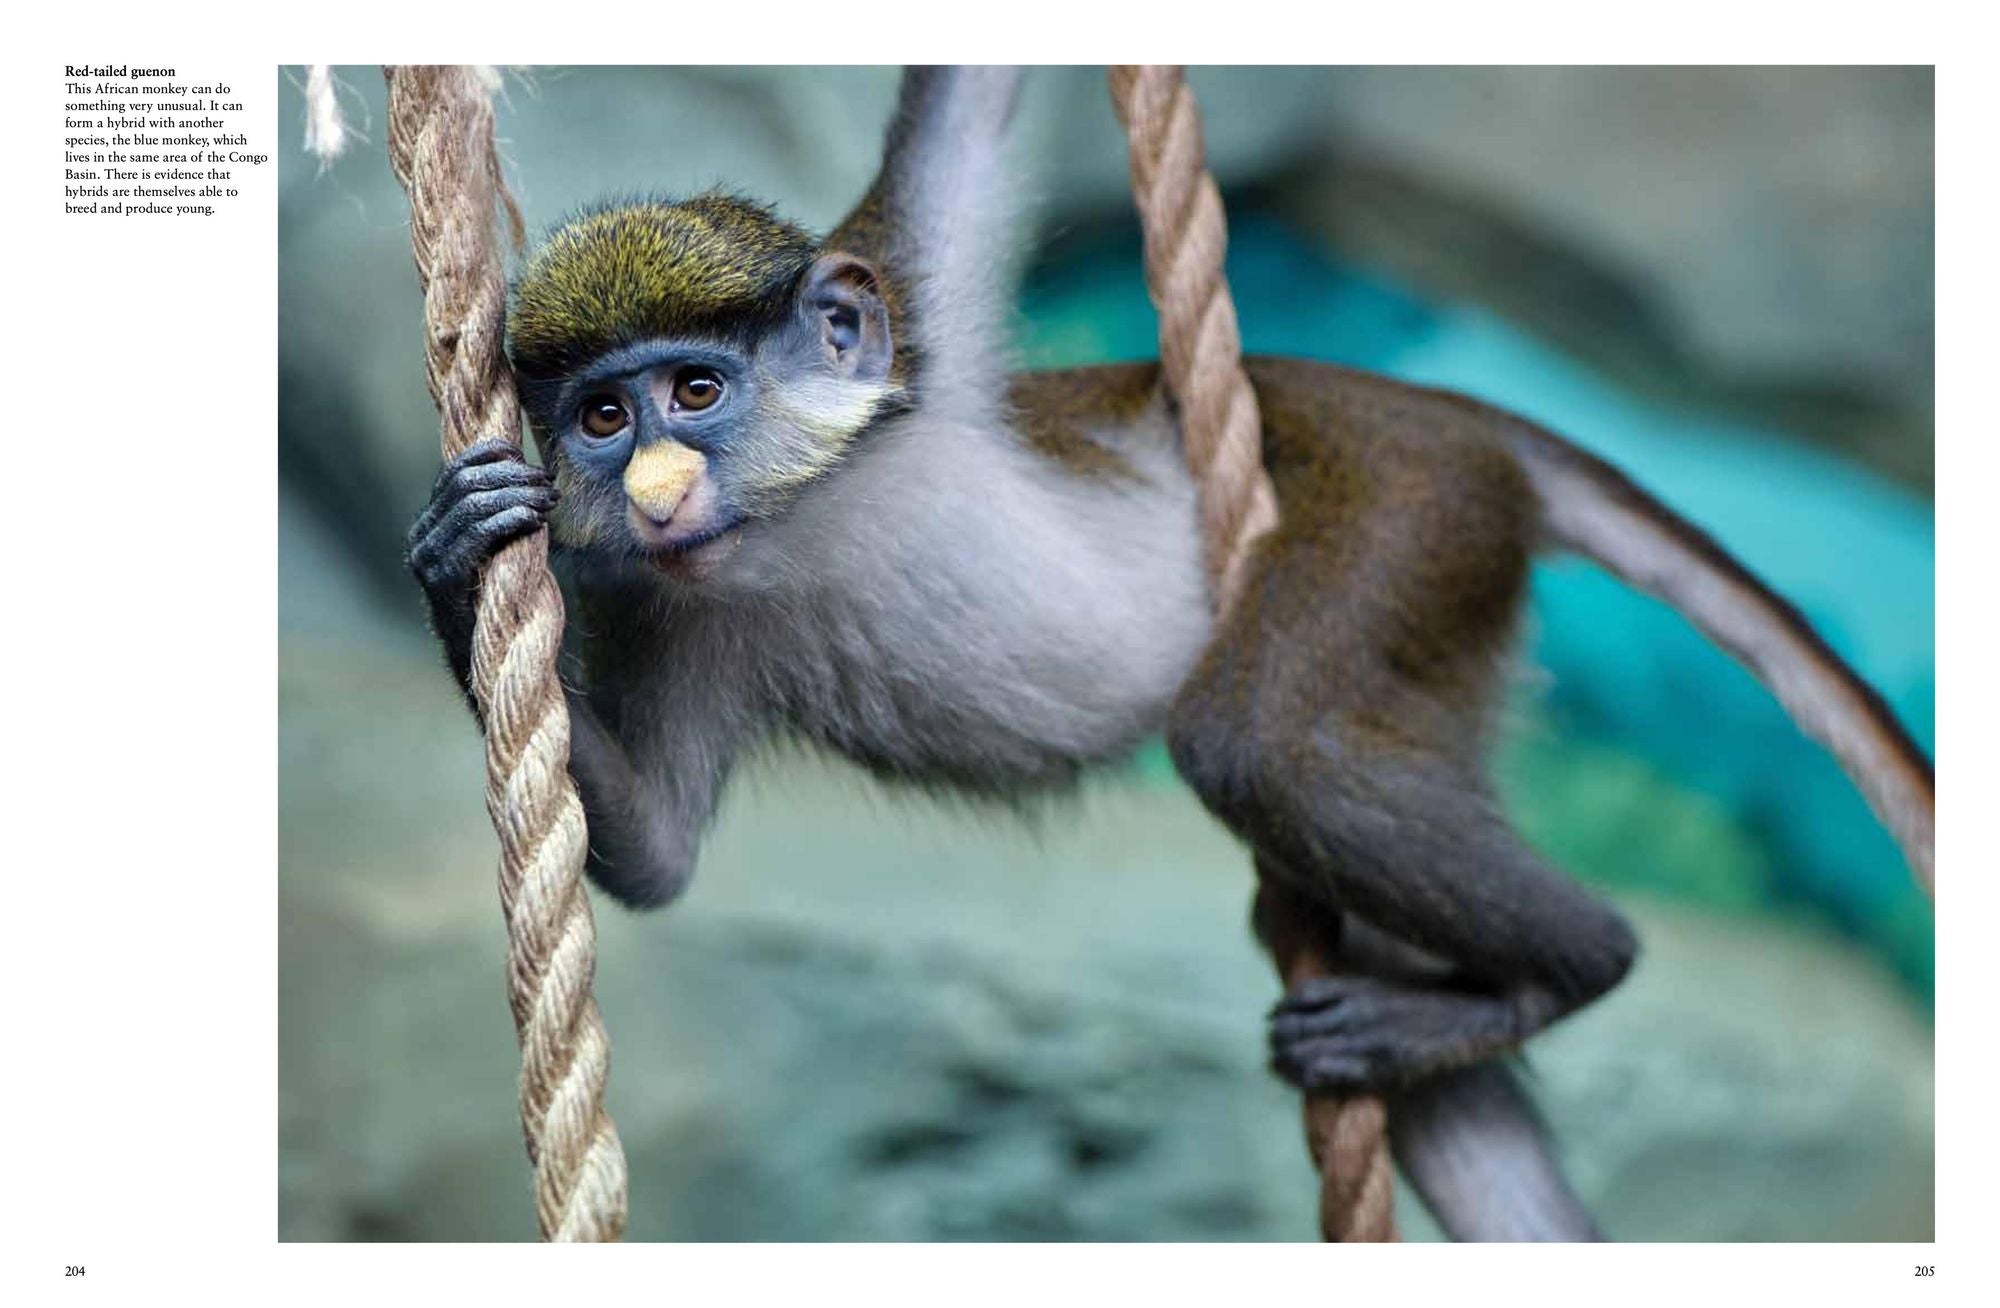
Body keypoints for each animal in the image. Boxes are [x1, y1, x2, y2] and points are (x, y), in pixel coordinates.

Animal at [405, 67, 1934, 1239]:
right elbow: (658, 853)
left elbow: (971, 96)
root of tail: (1444, 415)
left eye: (695, 390)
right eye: (602, 418)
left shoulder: (913, 316)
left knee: (1263, 748)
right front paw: (456, 561)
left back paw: (1573, 967)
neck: (805, 518)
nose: (657, 488)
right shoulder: (654, 600)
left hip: (1400, 522)